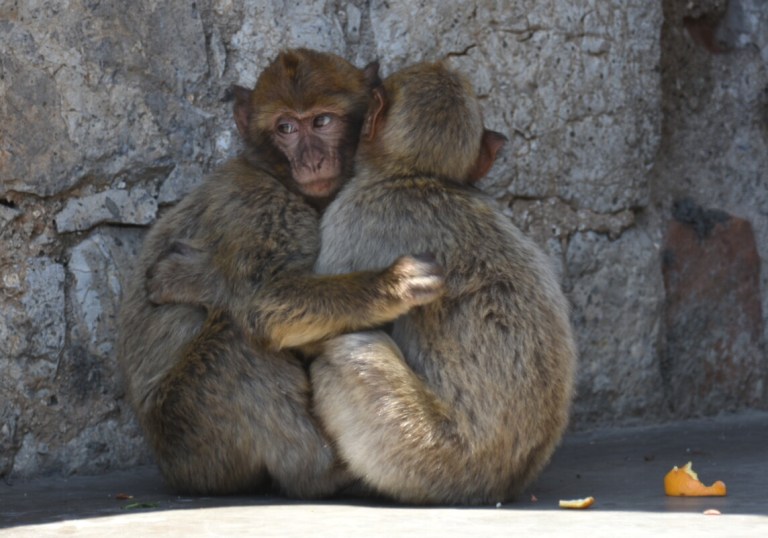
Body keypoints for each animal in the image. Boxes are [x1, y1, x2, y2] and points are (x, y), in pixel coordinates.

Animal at [116, 48, 445, 498]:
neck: (279, 176)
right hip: (191, 442)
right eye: (285, 128)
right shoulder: (262, 206)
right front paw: (391, 283)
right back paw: (321, 474)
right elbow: (264, 303)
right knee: (238, 340)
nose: (311, 160)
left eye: (321, 121)